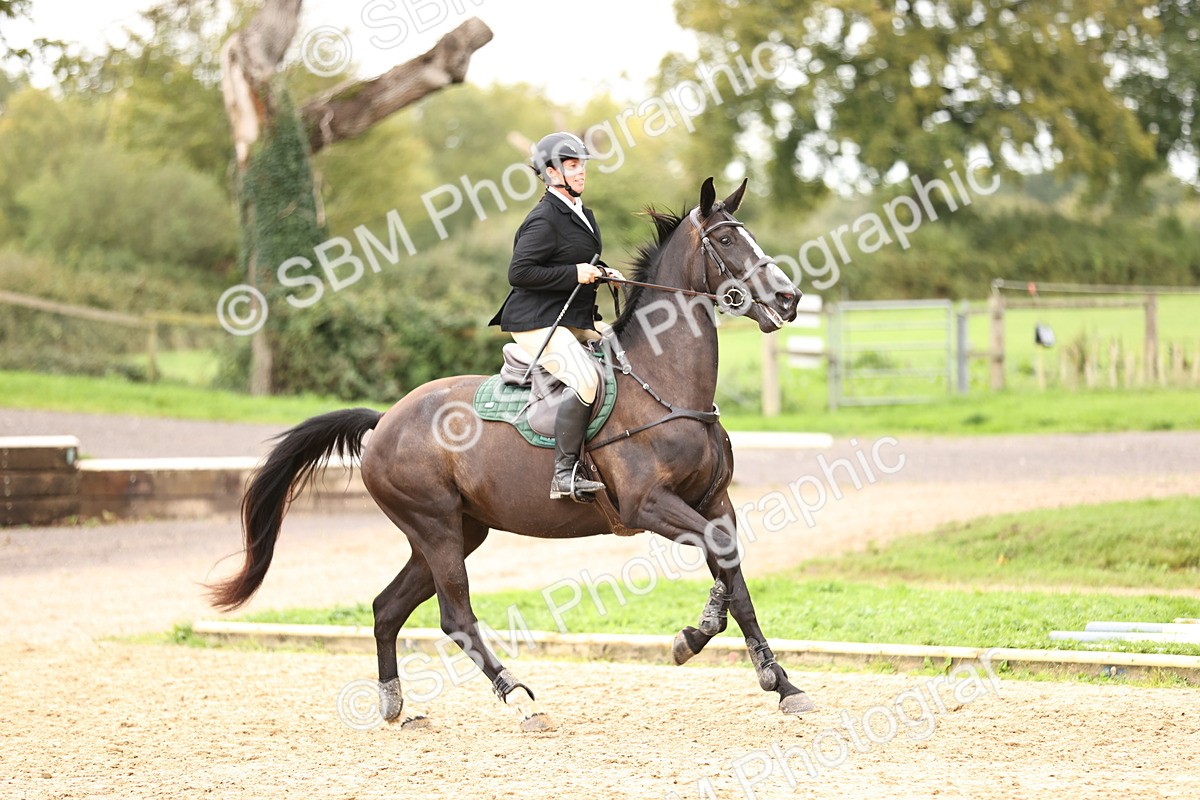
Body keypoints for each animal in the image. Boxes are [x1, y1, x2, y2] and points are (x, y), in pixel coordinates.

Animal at [208, 177, 812, 731]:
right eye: (728, 240)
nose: (790, 299)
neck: (663, 383)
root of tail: (384, 422)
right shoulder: (649, 505)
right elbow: (723, 568)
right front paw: (695, 634)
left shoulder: (713, 503)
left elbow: (736, 579)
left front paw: (779, 681)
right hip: (437, 529)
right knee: (454, 614)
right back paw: (518, 696)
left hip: (455, 530)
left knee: (386, 608)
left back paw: (394, 705)